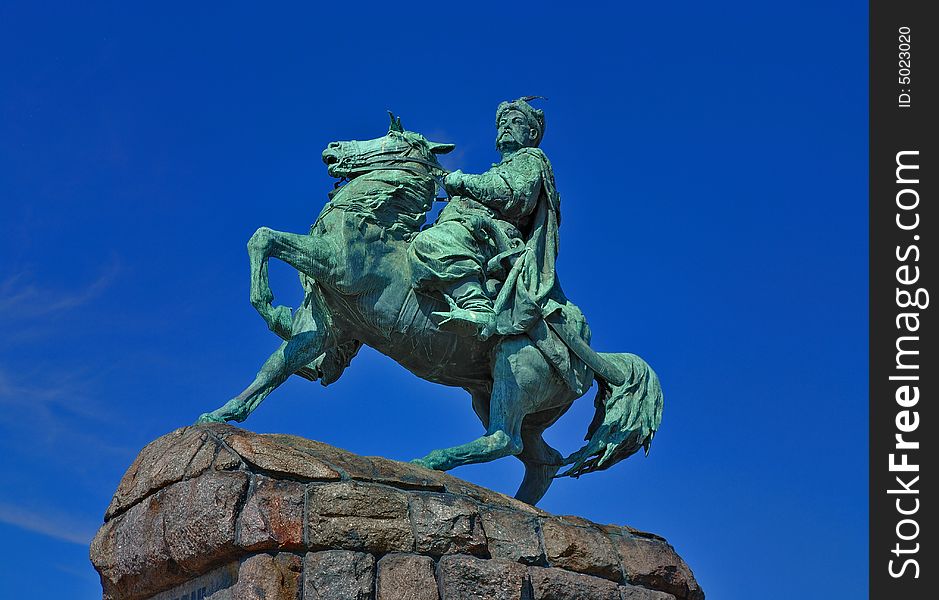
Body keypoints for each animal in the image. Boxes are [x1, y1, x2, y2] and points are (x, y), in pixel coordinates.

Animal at [200, 115, 660, 504]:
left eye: (392, 136)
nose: (332, 146)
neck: (372, 222)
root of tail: (594, 358)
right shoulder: (326, 328)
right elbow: (274, 368)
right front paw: (221, 414)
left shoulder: (336, 264)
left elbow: (265, 237)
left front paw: (265, 303)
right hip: (496, 398)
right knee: (541, 460)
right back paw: (519, 506)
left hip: (514, 374)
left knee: (504, 439)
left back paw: (431, 458)